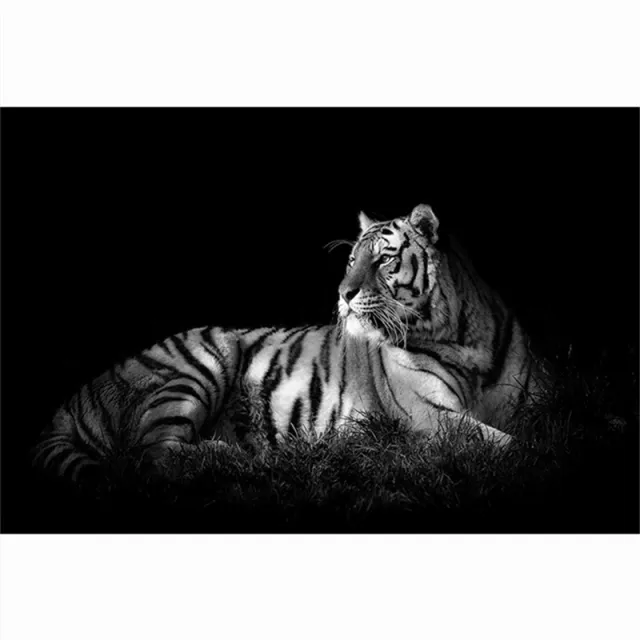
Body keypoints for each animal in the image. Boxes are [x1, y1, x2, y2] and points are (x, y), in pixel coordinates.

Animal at [33, 204, 546, 482]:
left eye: (384, 260)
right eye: (351, 261)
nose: (343, 294)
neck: (464, 339)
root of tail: (79, 394)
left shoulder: (537, 401)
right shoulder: (429, 415)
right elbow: (501, 444)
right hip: (199, 362)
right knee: (148, 455)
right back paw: (236, 459)